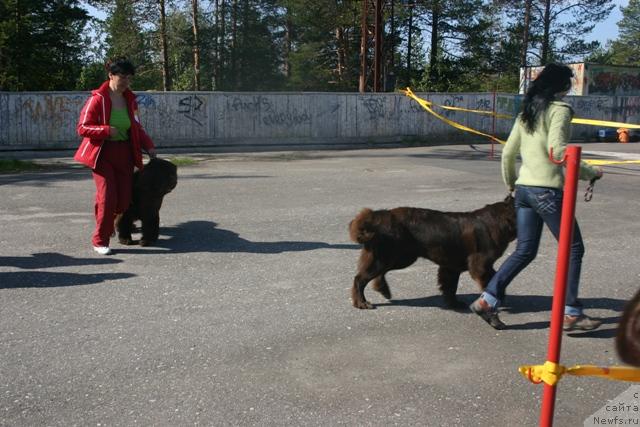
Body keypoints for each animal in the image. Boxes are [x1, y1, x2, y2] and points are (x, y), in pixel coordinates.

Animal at [348, 196, 516, 310]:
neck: (498, 222)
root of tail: (380, 217)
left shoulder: (451, 267)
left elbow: (450, 286)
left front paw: (454, 303)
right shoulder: (480, 264)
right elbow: (490, 279)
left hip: (401, 257)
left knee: (378, 274)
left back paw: (382, 289)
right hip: (391, 257)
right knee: (359, 279)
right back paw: (361, 303)